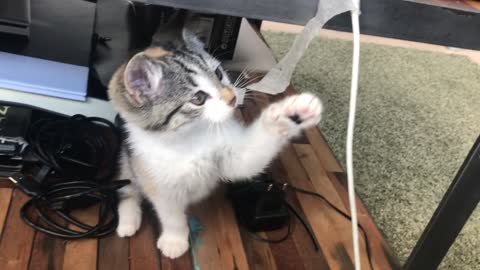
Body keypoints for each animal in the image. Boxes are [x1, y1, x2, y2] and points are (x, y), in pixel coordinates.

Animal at [109, 13, 322, 258]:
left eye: (219, 73)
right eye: (198, 98)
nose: (232, 98)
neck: (191, 136)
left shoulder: (231, 156)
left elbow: (246, 161)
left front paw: (291, 113)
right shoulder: (158, 181)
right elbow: (171, 214)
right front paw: (174, 240)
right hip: (127, 160)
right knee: (127, 189)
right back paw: (128, 222)